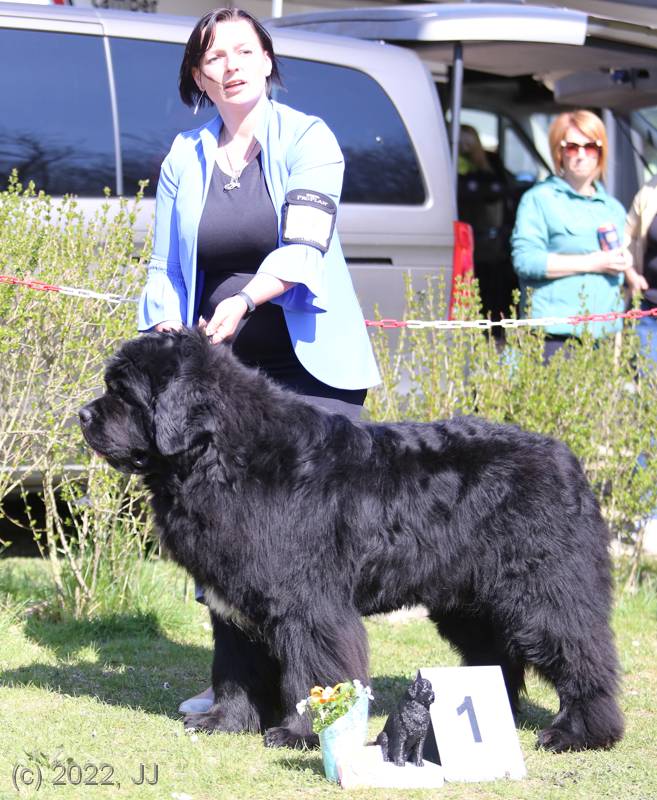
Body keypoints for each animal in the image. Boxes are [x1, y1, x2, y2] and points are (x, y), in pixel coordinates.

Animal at [79, 328, 623, 753]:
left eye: (124, 393)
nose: (84, 414)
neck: (224, 459)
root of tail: (567, 459)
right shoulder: (233, 606)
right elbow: (234, 670)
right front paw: (223, 723)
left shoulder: (306, 604)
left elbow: (310, 670)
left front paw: (298, 733)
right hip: (471, 605)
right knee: (499, 659)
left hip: (544, 593)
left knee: (581, 655)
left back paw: (577, 733)